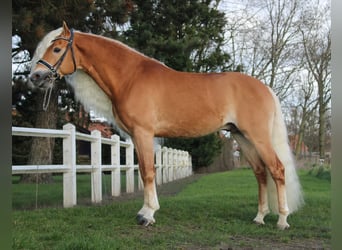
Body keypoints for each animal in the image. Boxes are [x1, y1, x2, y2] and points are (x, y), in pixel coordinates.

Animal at [29, 22, 302, 229]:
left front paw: (147, 215)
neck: (131, 77)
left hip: (257, 136)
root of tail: (264, 88)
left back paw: (282, 220)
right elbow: (144, 170)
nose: (35, 77)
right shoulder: (136, 136)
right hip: (242, 137)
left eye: (56, 49)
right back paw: (259, 217)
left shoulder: (143, 133)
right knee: (260, 173)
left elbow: (148, 171)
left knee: (277, 170)